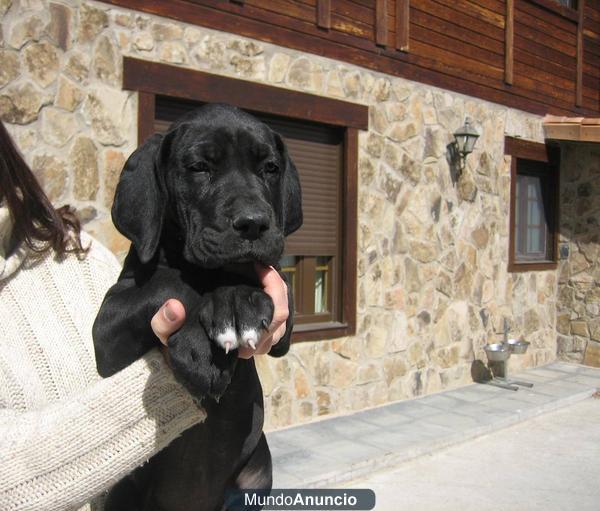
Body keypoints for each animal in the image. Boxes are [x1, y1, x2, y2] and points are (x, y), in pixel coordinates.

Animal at [92, 104, 302, 511]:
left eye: (270, 168)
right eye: (199, 167)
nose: (254, 224)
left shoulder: (281, 320)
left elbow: (265, 278)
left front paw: (236, 301)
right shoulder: (105, 333)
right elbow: (172, 280)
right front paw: (199, 350)